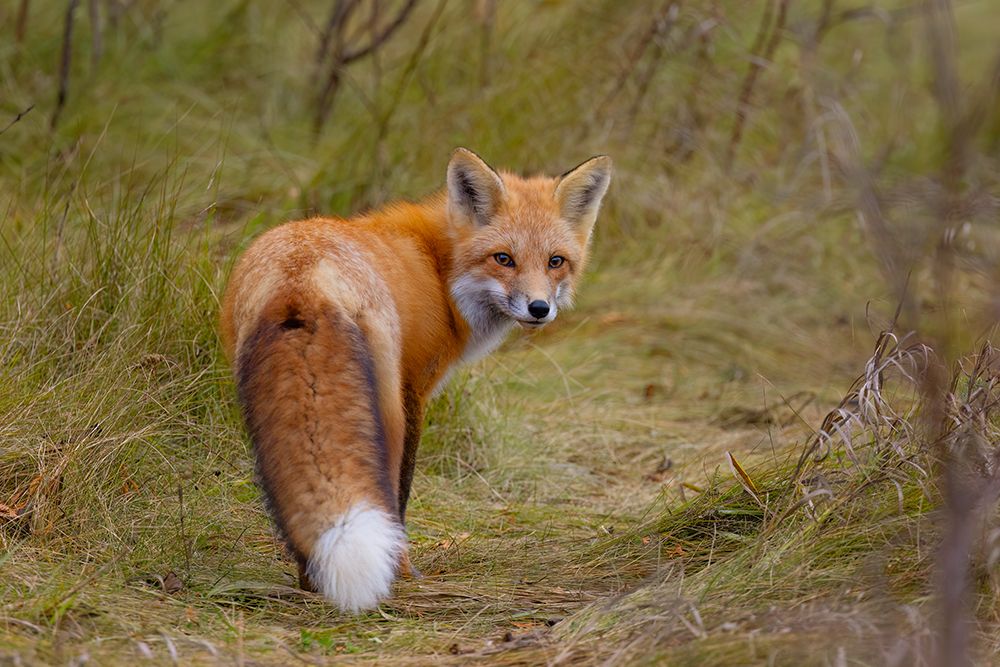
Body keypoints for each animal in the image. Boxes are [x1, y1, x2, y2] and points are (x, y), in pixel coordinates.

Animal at [220, 148, 612, 612]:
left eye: (556, 261)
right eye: (503, 258)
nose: (539, 309)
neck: (439, 271)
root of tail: (302, 276)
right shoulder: (415, 390)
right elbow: (404, 488)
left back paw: (309, 581)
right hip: (385, 407)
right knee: (386, 492)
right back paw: (394, 570)